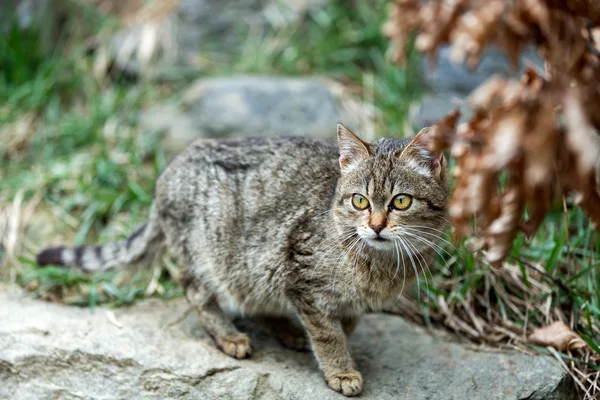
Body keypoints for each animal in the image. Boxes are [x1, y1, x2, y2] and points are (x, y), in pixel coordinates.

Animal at [37, 124, 448, 396]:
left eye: (401, 201)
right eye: (359, 201)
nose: (376, 226)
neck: (380, 264)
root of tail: (166, 173)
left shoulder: (341, 300)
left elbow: (344, 326)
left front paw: (332, 348)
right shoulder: (302, 277)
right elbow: (328, 334)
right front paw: (340, 369)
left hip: (255, 270)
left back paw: (286, 330)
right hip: (211, 258)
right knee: (193, 288)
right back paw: (229, 335)